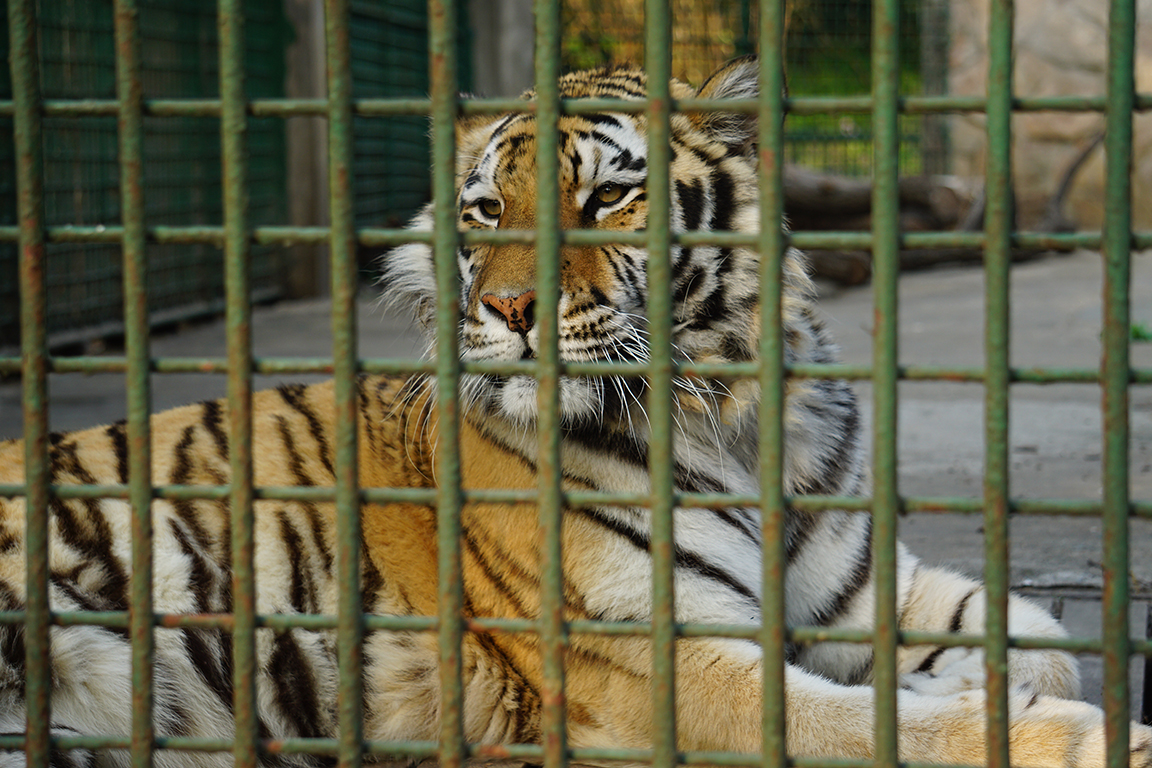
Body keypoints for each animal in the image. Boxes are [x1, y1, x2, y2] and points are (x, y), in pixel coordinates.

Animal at [0, 55, 1150, 768]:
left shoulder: (858, 588)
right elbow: (871, 726)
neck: (729, 418)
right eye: (484, 212)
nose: (507, 308)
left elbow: (1036, 634)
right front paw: (1075, 735)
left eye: (606, 199)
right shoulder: (650, 659)